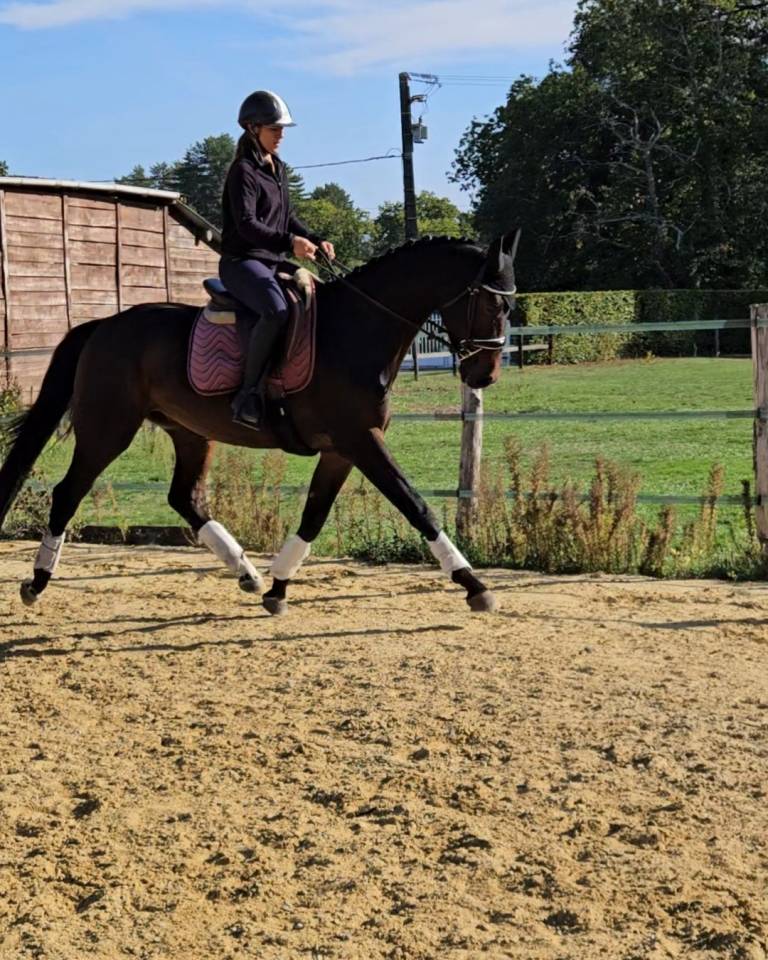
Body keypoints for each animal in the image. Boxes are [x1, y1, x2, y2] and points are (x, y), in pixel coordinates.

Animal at [0, 232, 519, 615]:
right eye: (493, 304)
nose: (485, 375)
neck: (356, 329)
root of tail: (104, 326)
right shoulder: (360, 440)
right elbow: (416, 506)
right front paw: (474, 585)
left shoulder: (341, 449)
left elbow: (313, 515)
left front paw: (277, 588)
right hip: (108, 429)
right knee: (68, 493)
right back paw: (37, 581)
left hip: (189, 432)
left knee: (185, 498)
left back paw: (246, 573)